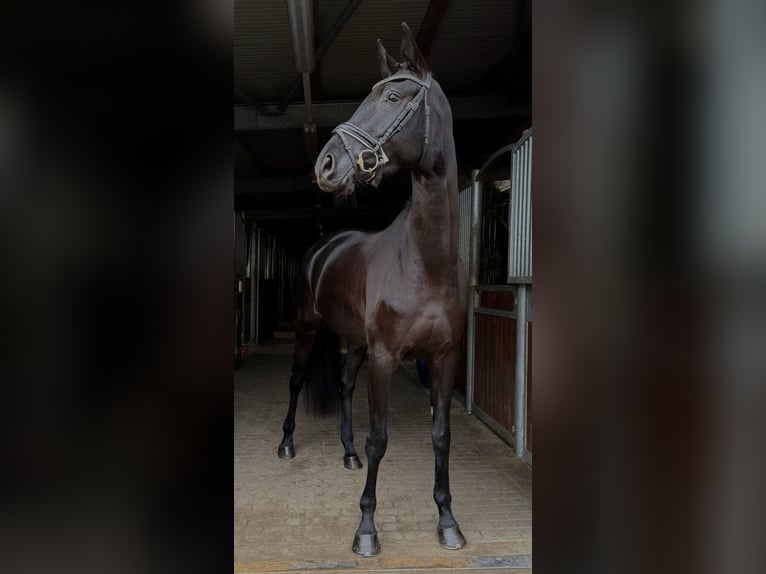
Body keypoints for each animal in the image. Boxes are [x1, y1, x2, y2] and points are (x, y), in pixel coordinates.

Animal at [277, 22, 467, 557]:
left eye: (395, 96)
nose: (325, 166)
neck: (426, 264)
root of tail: (325, 246)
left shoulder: (444, 358)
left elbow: (441, 435)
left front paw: (447, 520)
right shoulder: (384, 357)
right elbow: (379, 439)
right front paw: (365, 529)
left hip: (355, 343)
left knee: (343, 385)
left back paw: (345, 454)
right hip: (308, 329)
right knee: (297, 382)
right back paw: (286, 443)